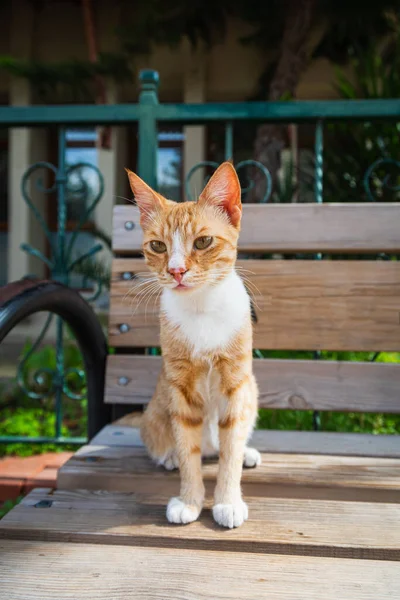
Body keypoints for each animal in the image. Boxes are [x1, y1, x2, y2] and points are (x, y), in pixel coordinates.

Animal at [126, 162, 260, 528]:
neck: (202, 309)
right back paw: (168, 455)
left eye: (203, 241)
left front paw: (228, 501)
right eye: (158, 246)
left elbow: (231, 450)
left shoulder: (235, 382)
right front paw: (189, 501)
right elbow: (189, 450)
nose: (176, 270)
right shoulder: (180, 387)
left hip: (251, 390)